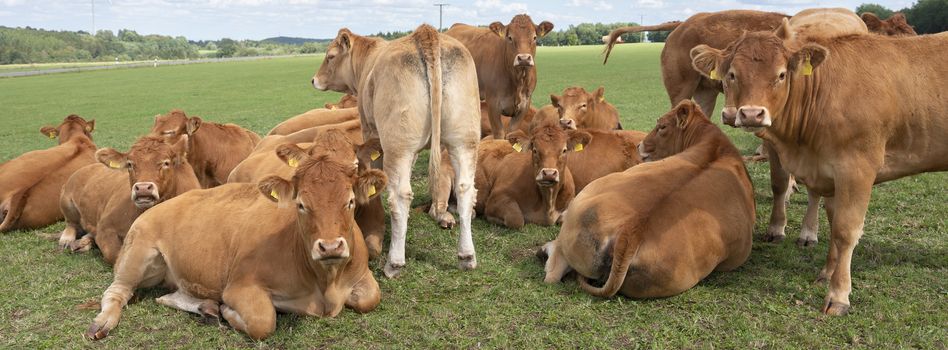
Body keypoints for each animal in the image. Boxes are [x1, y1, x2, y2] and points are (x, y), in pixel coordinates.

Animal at [56, 135, 201, 264]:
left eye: (166, 163)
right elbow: (116, 255)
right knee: (71, 223)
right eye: (130, 164)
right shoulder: (105, 228)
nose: (143, 188)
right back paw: (67, 240)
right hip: (66, 201)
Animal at [86, 146, 386, 342]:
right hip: (138, 252)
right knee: (116, 291)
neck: (325, 283)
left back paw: (205, 307)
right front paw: (229, 312)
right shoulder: (240, 286)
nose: (331, 247)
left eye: (350, 202)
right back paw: (102, 322)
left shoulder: (362, 275)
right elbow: (263, 321)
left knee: (169, 294)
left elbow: (370, 298)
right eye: (301, 204)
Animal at [688, 18, 948, 314]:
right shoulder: (830, 171)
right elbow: (833, 223)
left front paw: (839, 294)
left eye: (781, 75)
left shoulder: (857, 169)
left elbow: (846, 230)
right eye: (732, 74)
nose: (751, 114)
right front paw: (827, 273)